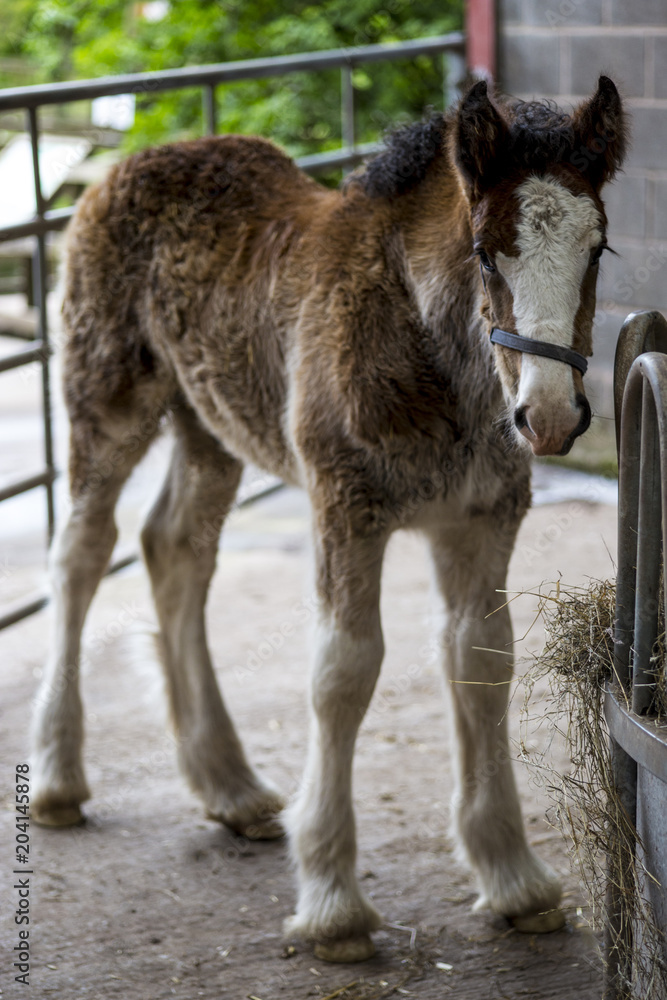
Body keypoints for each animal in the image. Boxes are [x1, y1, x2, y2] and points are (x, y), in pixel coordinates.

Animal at [30, 75, 626, 962]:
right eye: (487, 250)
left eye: (596, 250)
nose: (548, 417)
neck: (431, 350)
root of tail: (133, 159)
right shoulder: (345, 506)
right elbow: (342, 672)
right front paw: (332, 905)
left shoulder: (483, 516)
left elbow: (481, 661)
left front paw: (512, 878)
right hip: (105, 400)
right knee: (81, 554)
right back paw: (60, 779)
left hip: (210, 428)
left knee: (175, 549)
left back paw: (231, 787)